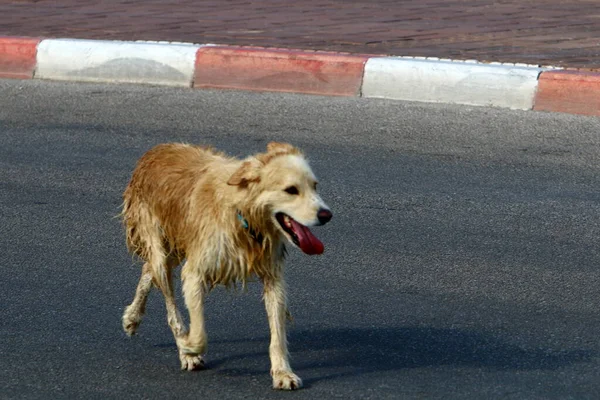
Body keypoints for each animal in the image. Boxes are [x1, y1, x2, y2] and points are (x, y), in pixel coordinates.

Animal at [120, 142, 332, 390]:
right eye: (291, 190)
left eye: (315, 186)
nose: (327, 214)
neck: (241, 213)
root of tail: (155, 150)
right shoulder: (195, 272)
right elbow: (199, 332)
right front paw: (188, 348)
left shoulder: (273, 277)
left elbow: (277, 335)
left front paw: (282, 373)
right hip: (161, 248)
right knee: (169, 303)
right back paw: (179, 344)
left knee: (148, 270)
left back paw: (132, 317)